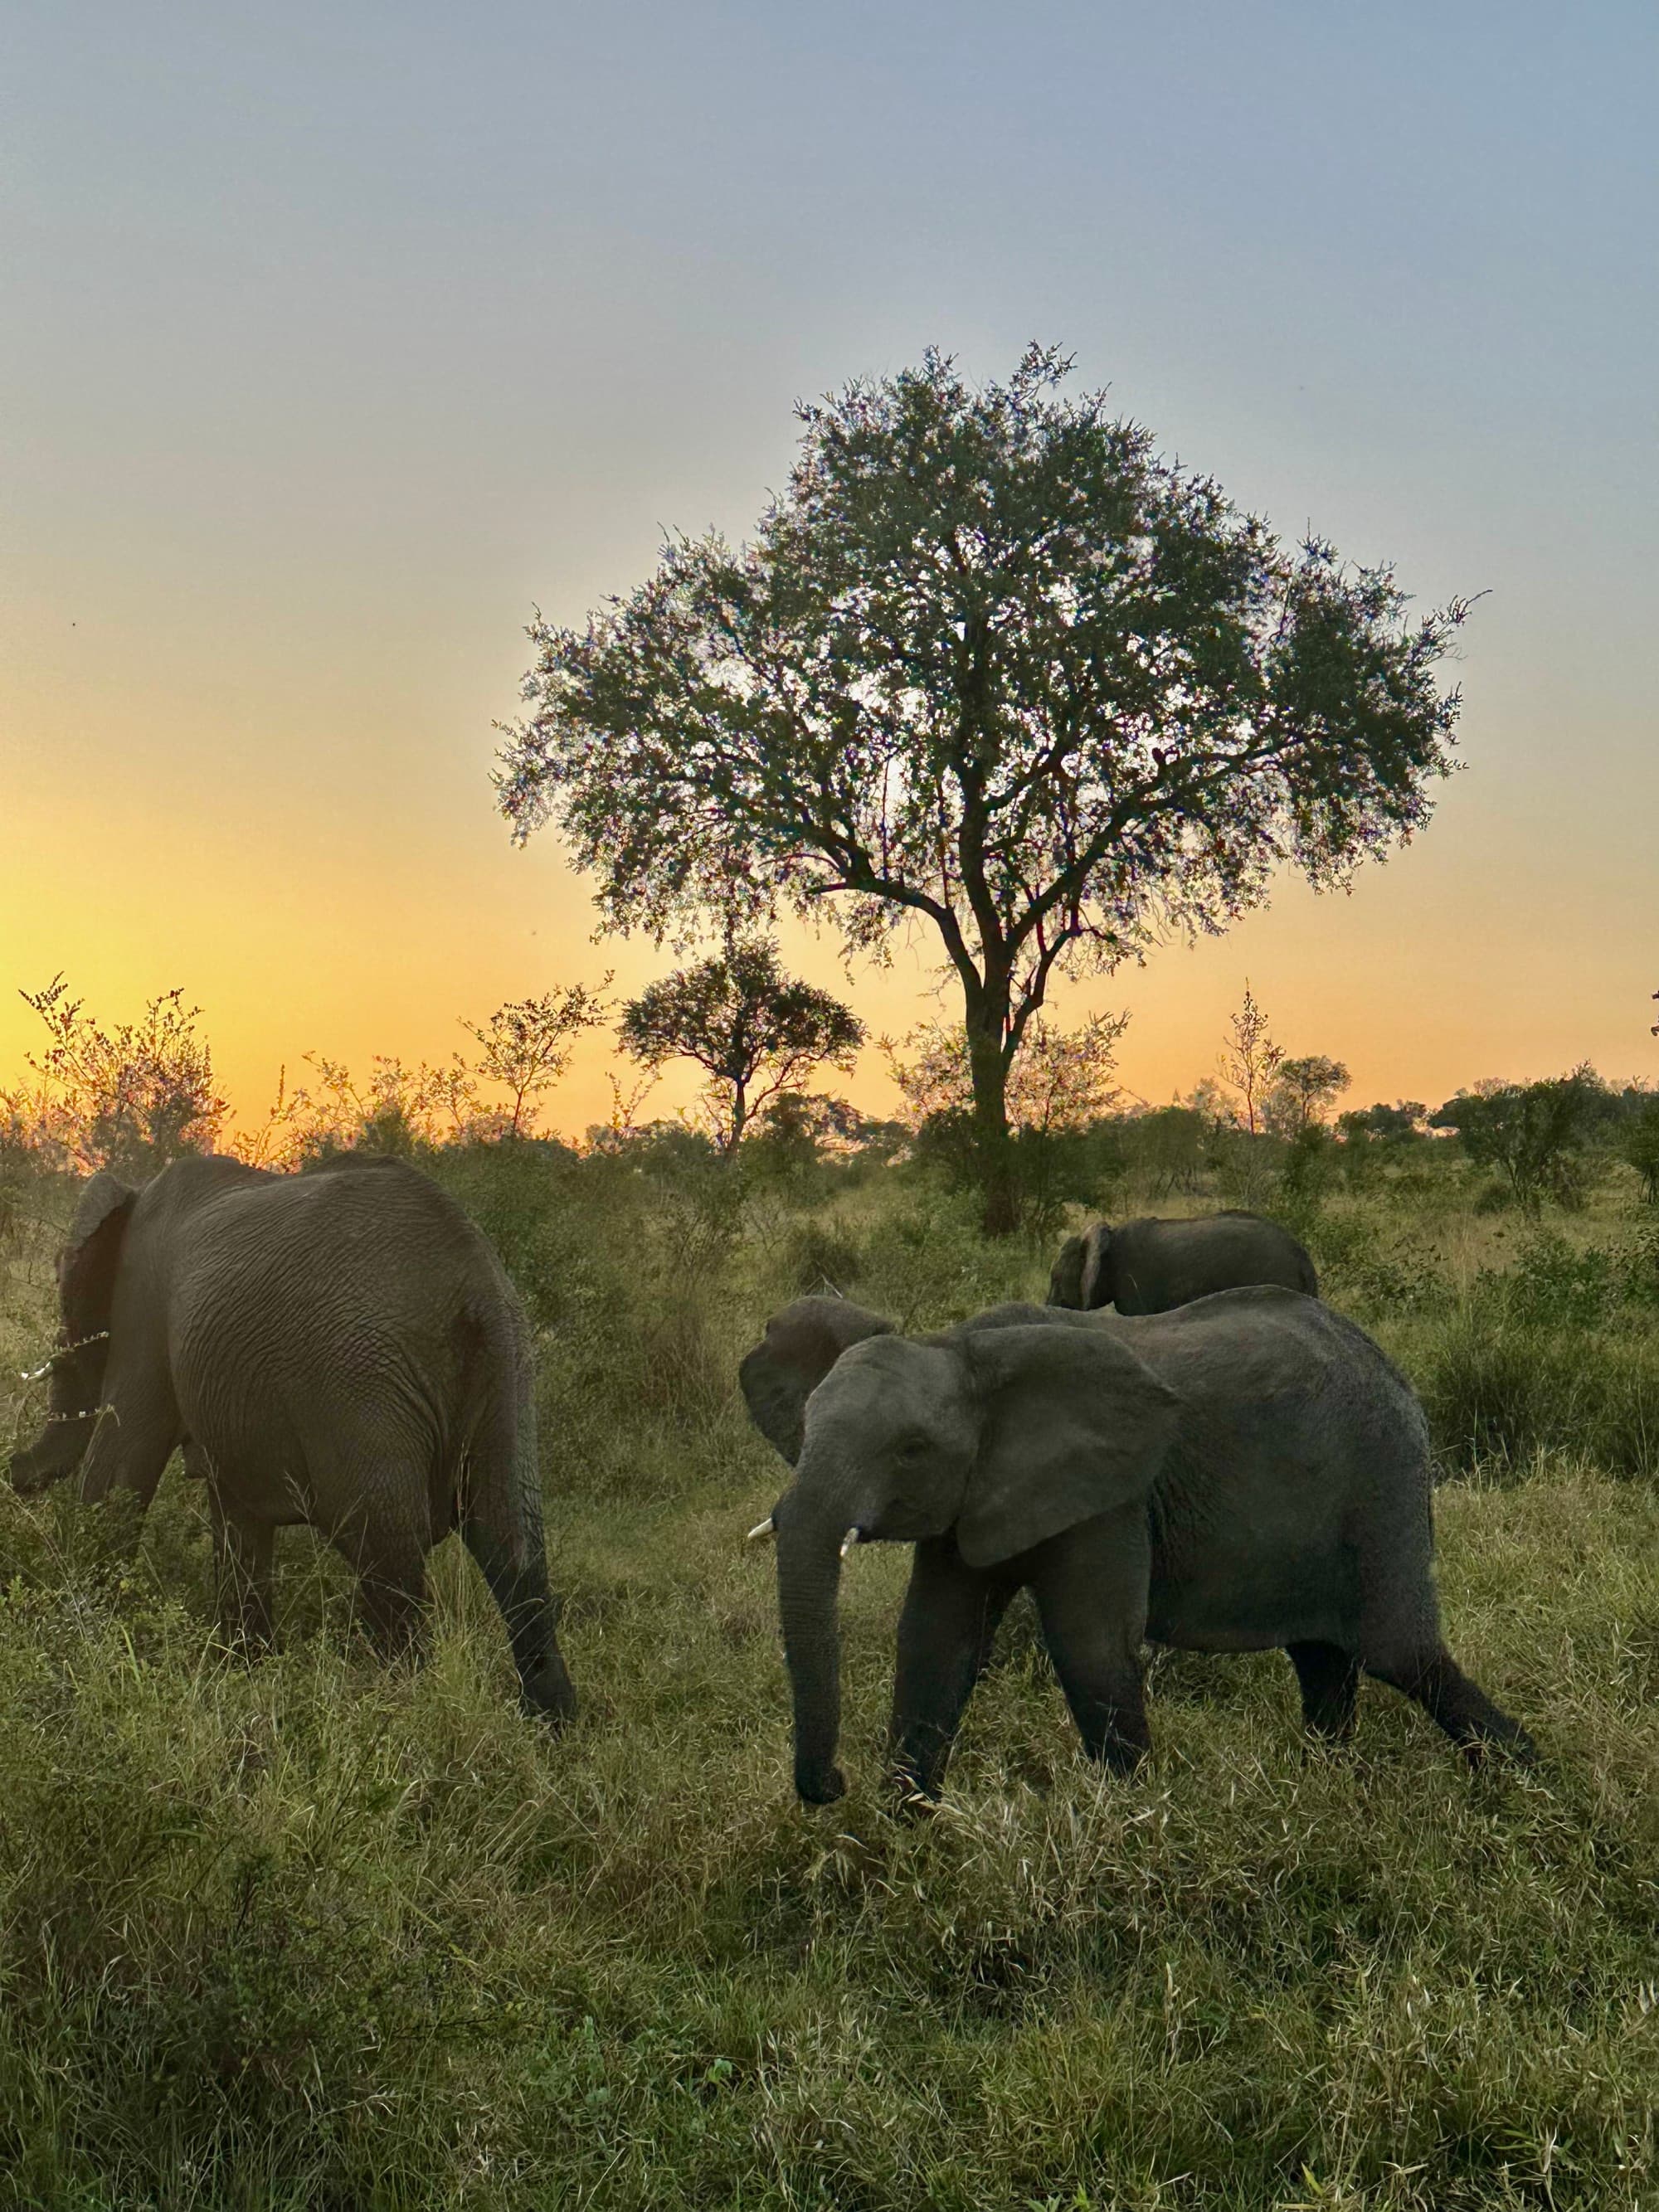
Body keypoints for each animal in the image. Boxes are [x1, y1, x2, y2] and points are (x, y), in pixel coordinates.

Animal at [9, 1153, 576, 1722]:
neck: (135, 1192)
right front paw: (248, 1671)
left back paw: (404, 1707)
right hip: (506, 1364)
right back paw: (550, 1725)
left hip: (358, 1382)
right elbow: (236, 1520)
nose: (10, 1462)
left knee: (387, 1547)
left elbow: (116, 1474)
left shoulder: (143, 1311)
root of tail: (473, 1284)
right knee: (510, 1536)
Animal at [740, 1292, 1531, 1804]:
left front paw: (1131, 1827)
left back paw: (1526, 1786)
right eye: (805, 1427)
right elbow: (936, 1637)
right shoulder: (971, 1498)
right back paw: (1321, 1792)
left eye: (910, 1449)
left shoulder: (1112, 1495)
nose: (832, 1785)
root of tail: (1390, 1365)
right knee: (1323, 1660)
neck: (955, 1346)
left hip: (1380, 1477)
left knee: (1403, 1654)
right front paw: (906, 1833)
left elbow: (1089, 1647)